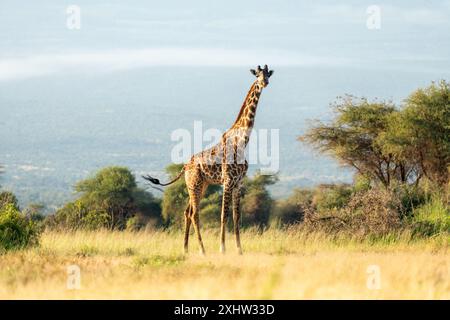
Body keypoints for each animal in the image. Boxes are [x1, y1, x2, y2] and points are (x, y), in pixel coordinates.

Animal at [144, 65, 272, 255]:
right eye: (257, 75)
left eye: (267, 74)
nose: (265, 82)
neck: (242, 141)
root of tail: (185, 167)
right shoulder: (227, 181)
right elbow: (224, 215)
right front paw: (222, 248)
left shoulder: (239, 183)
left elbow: (237, 217)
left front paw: (239, 250)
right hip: (195, 184)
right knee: (194, 213)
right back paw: (202, 250)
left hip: (199, 185)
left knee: (187, 211)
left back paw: (186, 249)